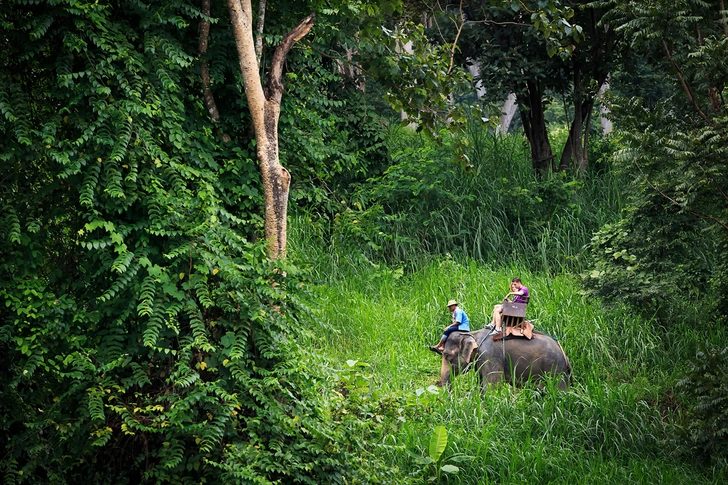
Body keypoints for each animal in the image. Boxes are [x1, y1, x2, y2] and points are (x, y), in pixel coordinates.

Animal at [440, 326, 572, 390]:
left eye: (447, 356)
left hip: (555, 368)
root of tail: (565, 355)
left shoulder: (490, 355)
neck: (473, 334)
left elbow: (491, 386)